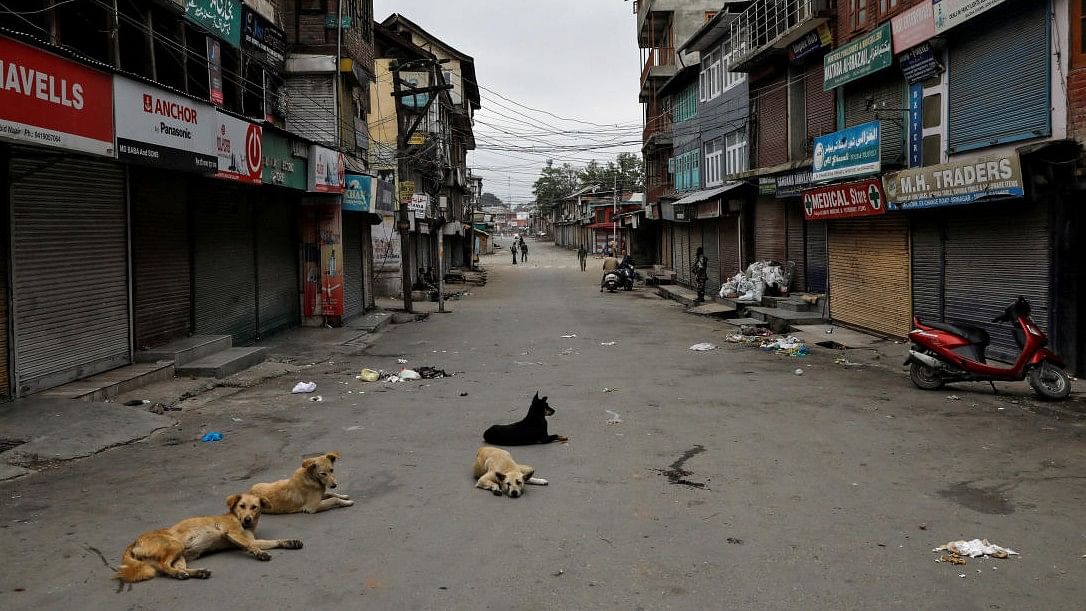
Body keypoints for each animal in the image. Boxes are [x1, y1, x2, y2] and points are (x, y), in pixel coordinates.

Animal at [115, 492, 304, 581]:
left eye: (254, 507)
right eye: (242, 506)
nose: (247, 519)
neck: (237, 518)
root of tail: (134, 542)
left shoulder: (248, 539)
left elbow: (271, 542)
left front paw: (290, 542)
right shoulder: (234, 533)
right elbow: (253, 546)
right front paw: (260, 554)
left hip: (180, 555)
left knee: (175, 567)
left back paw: (197, 572)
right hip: (175, 545)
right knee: (164, 566)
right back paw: (180, 575)